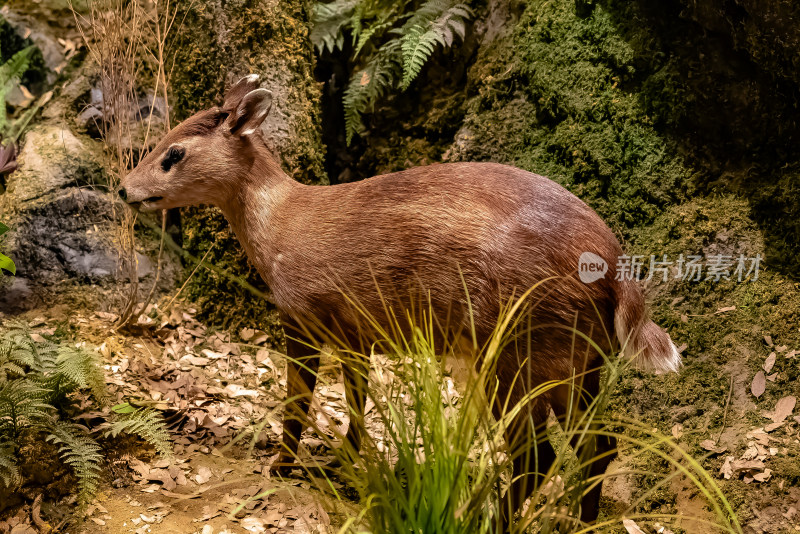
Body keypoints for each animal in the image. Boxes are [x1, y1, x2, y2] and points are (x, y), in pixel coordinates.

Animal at [119, 75, 680, 528]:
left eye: (173, 153)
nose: (125, 189)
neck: (282, 227)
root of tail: (616, 268)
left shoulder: (306, 315)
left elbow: (299, 403)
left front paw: (282, 467)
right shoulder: (356, 334)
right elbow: (357, 402)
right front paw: (343, 463)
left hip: (514, 350)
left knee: (536, 453)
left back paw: (493, 519)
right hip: (577, 360)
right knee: (597, 446)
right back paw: (582, 522)